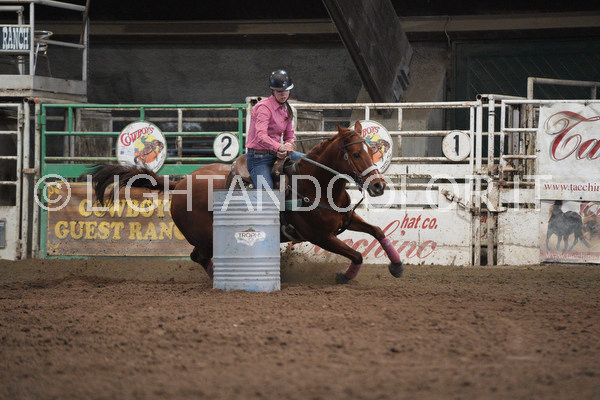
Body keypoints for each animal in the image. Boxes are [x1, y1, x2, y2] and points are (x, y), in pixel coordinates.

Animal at [89, 122, 404, 283]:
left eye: (371, 149)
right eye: (356, 154)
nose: (378, 185)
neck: (315, 185)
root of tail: (179, 184)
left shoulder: (346, 220)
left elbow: (378, 232)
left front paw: (397, 266)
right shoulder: (320, 237)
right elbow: (357, 255)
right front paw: (344, 276)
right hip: (206, 236)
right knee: (199, 257)